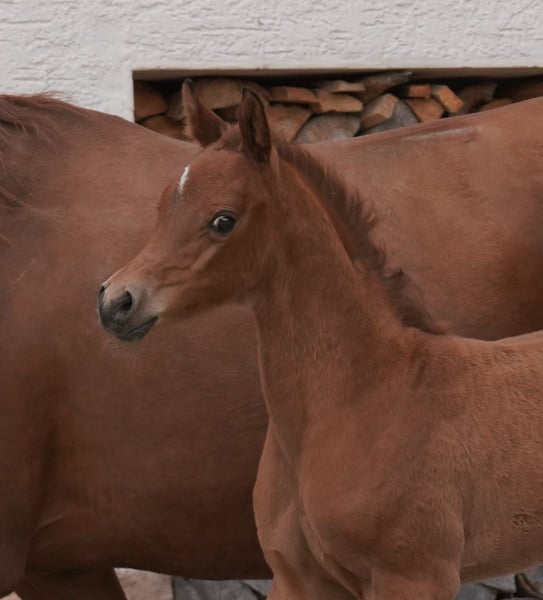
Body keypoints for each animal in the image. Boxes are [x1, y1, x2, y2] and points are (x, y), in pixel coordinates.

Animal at [2, 91, 543, 599]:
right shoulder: (297, 573)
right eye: (161, 207)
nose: (116, 301)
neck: (367, 392)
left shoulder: (413, 576)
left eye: (223, 220)